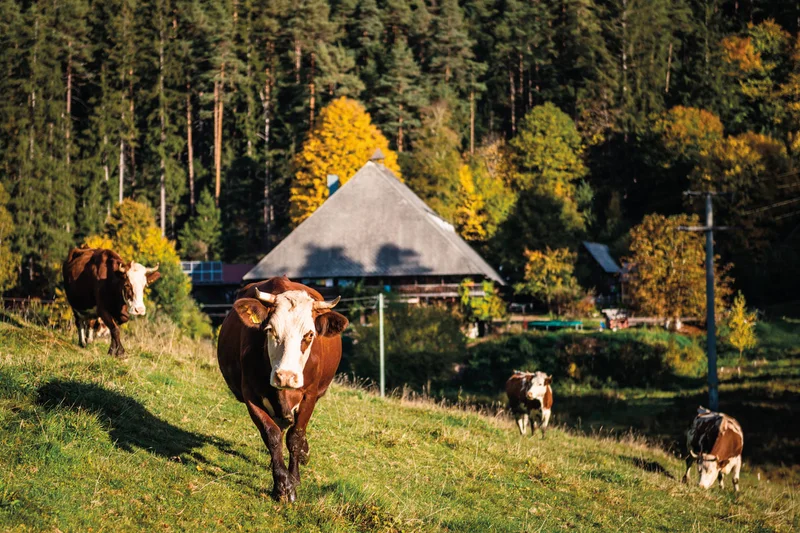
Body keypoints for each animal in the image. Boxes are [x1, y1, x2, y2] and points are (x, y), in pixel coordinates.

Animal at [217, 276, 348, 503]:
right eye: (270, 330)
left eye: (309, 334)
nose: (285, 376)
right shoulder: (250, 394)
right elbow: (272, 435)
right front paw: (283, 485)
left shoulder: (309, 395)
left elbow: (295, 437)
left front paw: (294, 477)